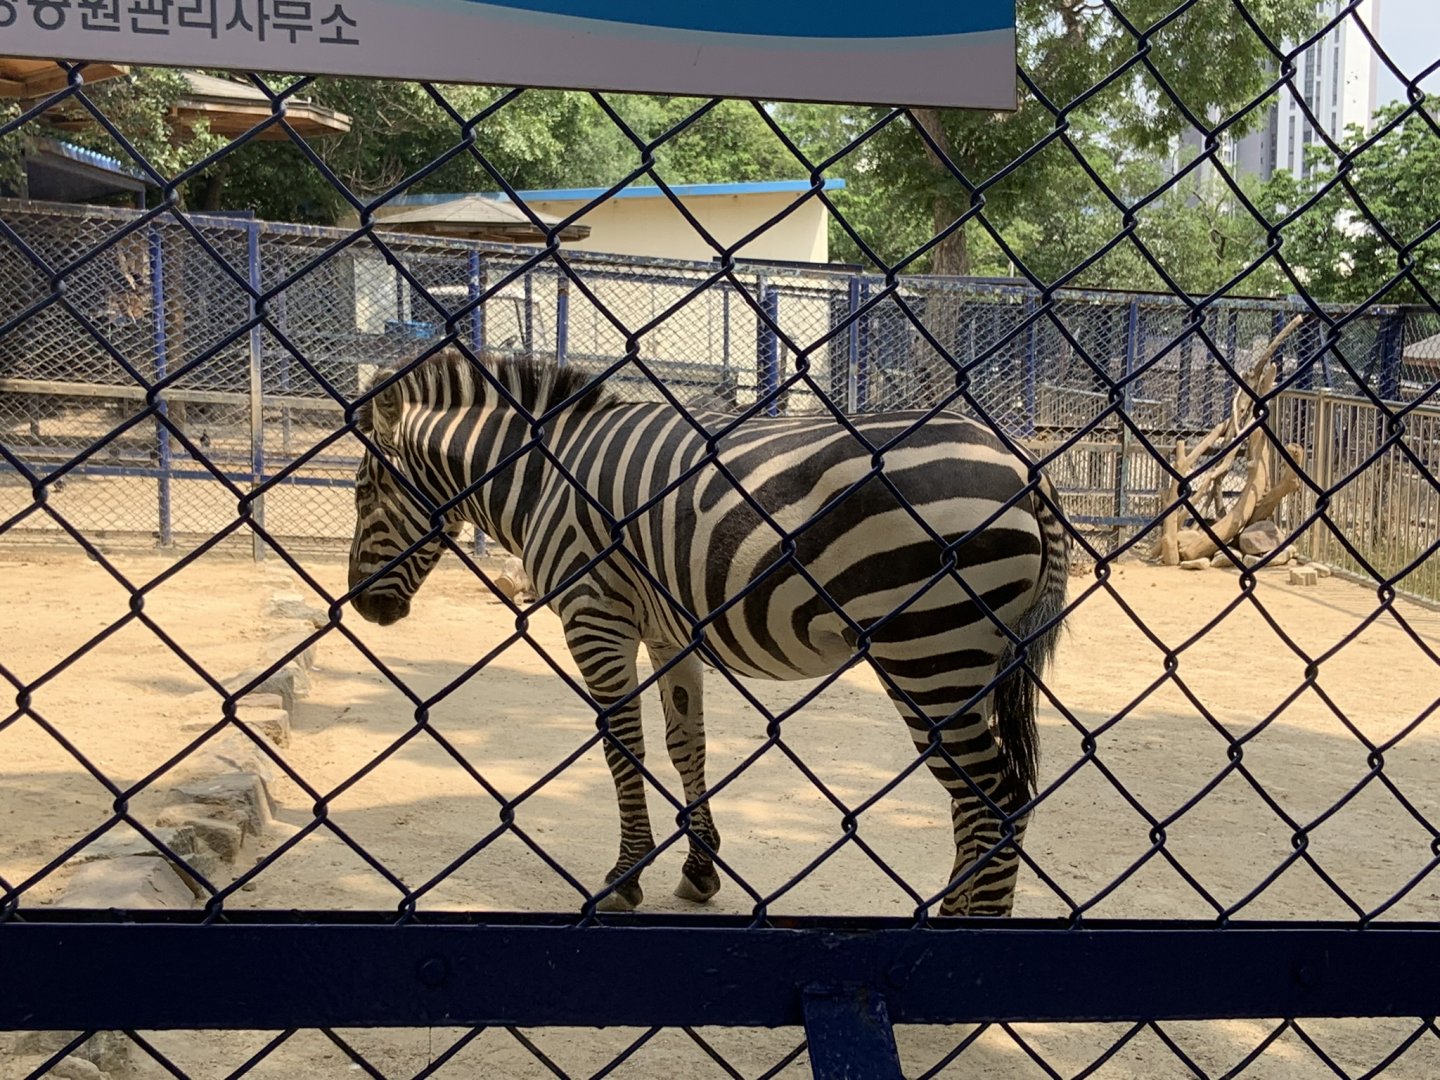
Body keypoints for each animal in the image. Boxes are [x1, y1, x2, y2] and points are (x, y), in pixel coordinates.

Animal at [348, 347, 1069, 917]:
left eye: (364, 492)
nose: (361, 607)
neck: (543, 478)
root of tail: (1022, 468)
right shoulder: (670, 632)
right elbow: (684, 743)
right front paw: (699, 870)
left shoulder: (595, 614)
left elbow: (622, 744)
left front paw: (624, 877)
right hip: (966, 657)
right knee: (976, 801)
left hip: (928, 651)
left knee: (998, 796)